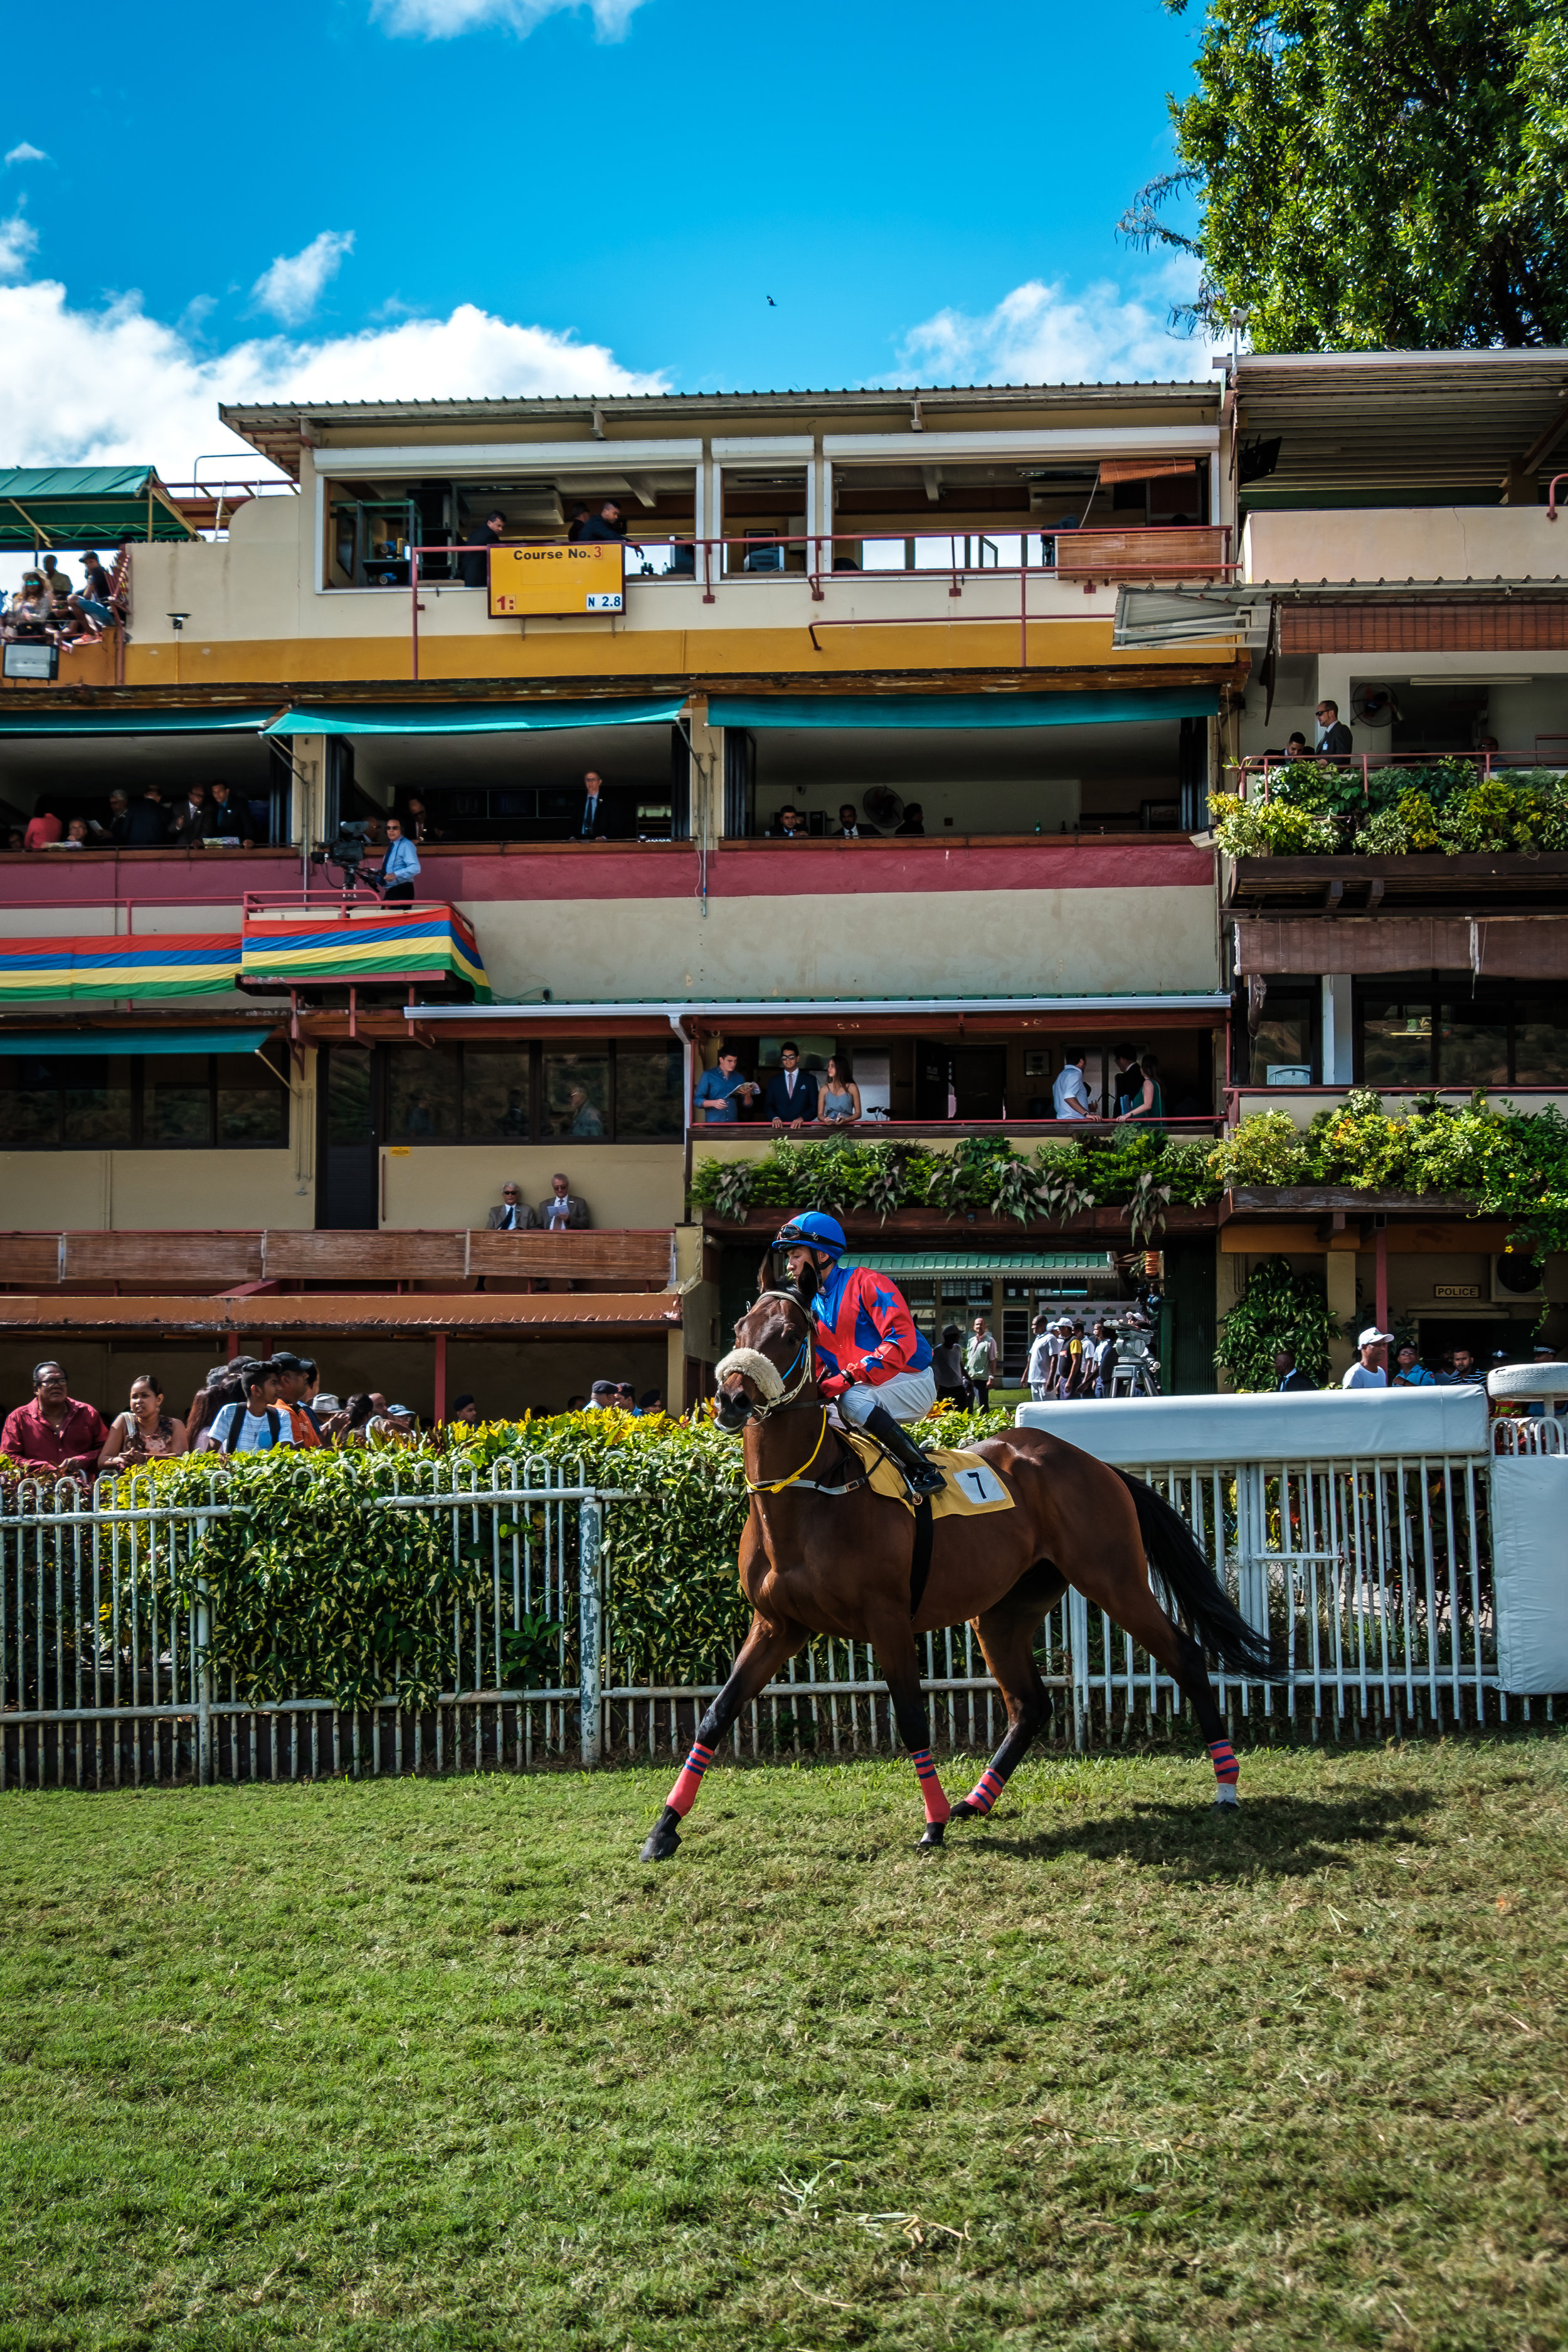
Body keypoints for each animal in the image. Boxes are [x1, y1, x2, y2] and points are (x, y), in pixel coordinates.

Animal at [644, 1289, 1278, 1853]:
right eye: (740, 1329)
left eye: (794, 1334)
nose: (731, 1400)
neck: (809, 1496)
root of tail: (1098, 1465)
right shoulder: (777, 1626)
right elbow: (717, 1714)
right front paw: (664, 1828)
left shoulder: (888, 1620)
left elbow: (911, 1718)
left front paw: (933, 1823)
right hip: (1002, 1613)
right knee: (1031, 1704)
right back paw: (978, 1798)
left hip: (1114, 1580)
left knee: (1185, 1656)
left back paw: (1226, 1785)